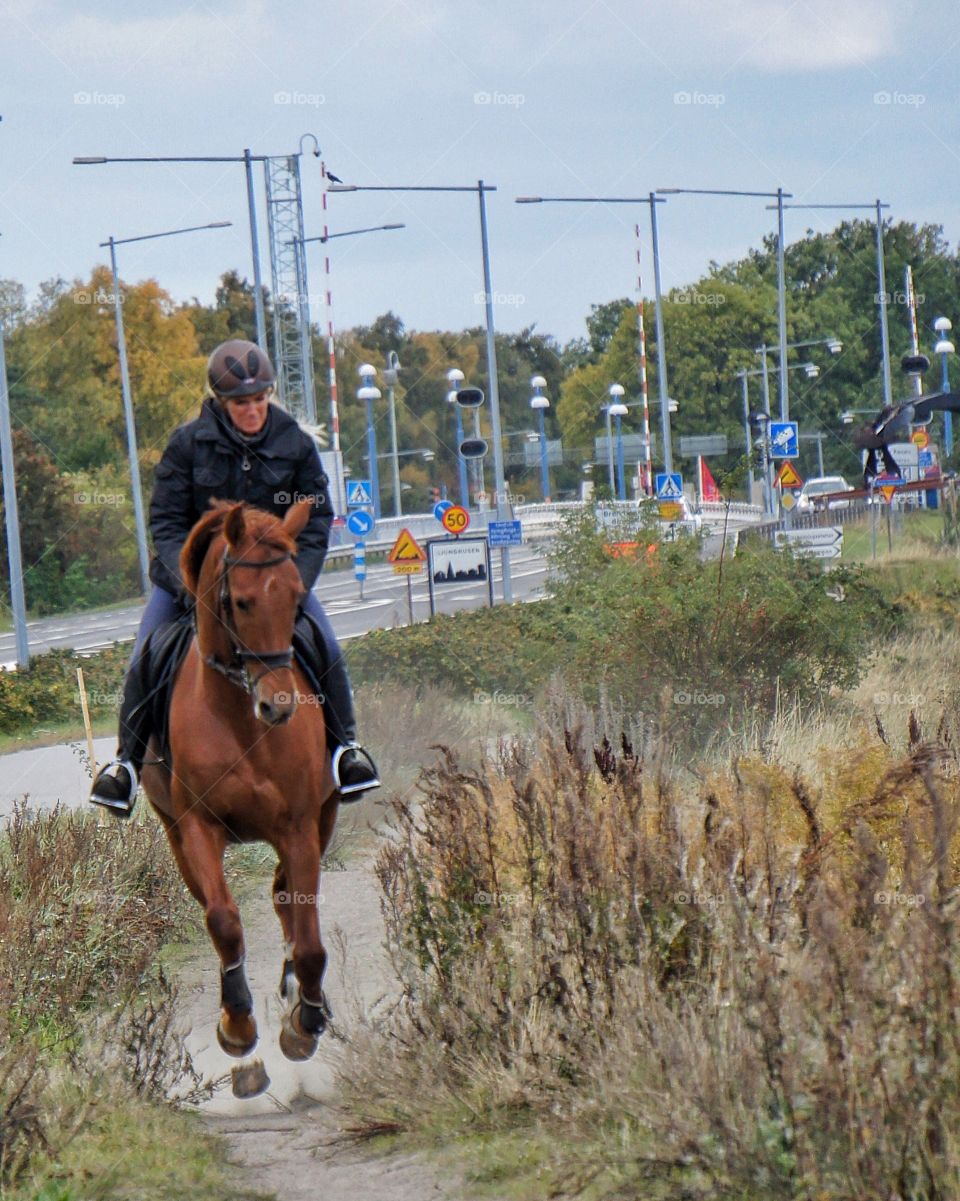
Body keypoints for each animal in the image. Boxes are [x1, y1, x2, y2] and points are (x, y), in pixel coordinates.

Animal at [140, 492, 338, 1076]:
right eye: (243, 602)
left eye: (295, 596)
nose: (280, 706)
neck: (240, 721)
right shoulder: (197, 828)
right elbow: (224, 922)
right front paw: (237, 1022)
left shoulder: (299, 827)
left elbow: (310, 935)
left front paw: (305, 1020)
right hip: (176, 837)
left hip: (324, 817)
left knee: (286, 901)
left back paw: (299, 990)